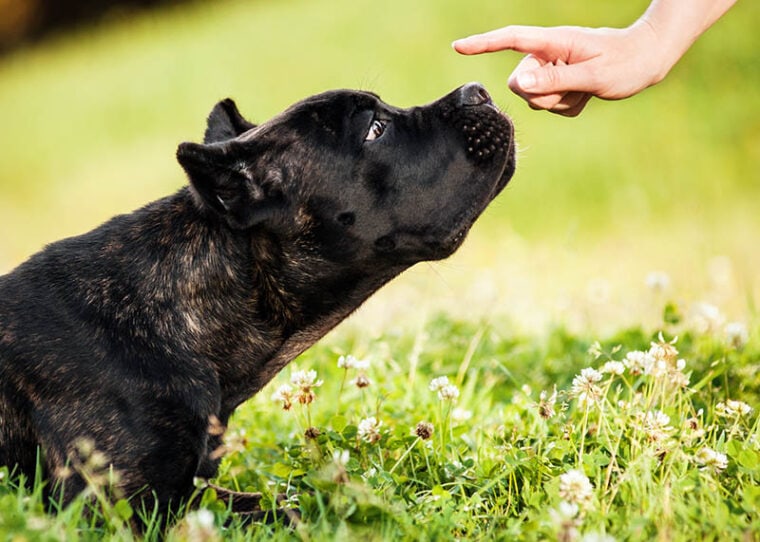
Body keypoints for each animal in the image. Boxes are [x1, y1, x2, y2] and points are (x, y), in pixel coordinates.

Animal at [0, 82, 516, 528]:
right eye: (374, 128)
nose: (477, 91)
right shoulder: (119, 513)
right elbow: (280, 512)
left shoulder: (197, 494)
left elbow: (276, 501)